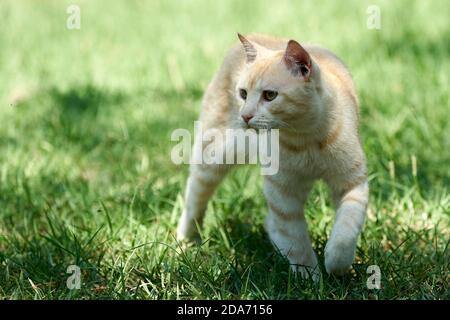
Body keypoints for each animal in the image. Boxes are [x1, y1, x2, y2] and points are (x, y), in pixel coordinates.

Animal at [176, 33, 370, 280]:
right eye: (243, 94)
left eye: (270, 95)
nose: (245, 115)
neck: (304, 139)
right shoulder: (282, 193)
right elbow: (296, 239)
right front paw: (309, 278)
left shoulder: (352, 183)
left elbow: (346, 230)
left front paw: (336, 264)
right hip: (213, 157)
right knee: (195, 196)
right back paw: (186, 239)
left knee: (272, 224)